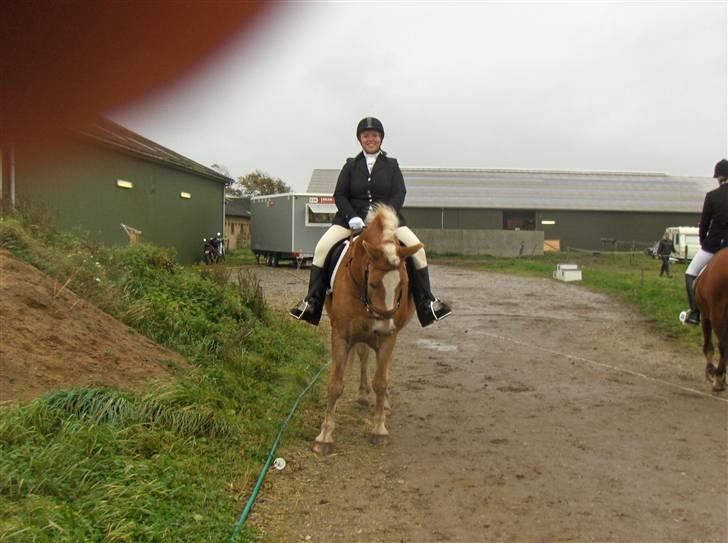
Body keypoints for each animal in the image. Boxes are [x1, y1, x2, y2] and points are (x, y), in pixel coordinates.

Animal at [312, 205, 420, 454]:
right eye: (372, 284)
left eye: (402, 285)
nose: (384, 328)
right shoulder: (341, 335)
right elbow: (335, 384)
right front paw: (325, 436)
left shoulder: (389, 339)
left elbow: (381, 381)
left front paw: (379, 429)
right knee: (363, 355)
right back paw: (362, 394)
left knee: (380, 367)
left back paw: (384, 404)